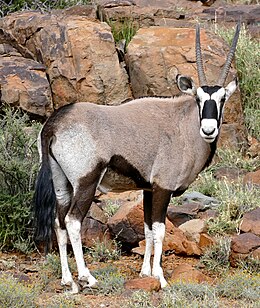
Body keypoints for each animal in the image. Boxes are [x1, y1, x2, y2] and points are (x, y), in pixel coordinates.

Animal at [33, 22, 241, 292]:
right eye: (198, 98)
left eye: (222, 99)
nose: (208, 129)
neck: (182, 123)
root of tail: (55, 124)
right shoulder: (163, 187)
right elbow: (160, 230)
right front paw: (160, 277)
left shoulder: (148, 189)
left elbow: (147, 228)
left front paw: (145, 272)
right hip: (86, 182)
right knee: (72, 221)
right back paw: (87, 277)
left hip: (61, 183)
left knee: (58, 223)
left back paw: (68, 279)